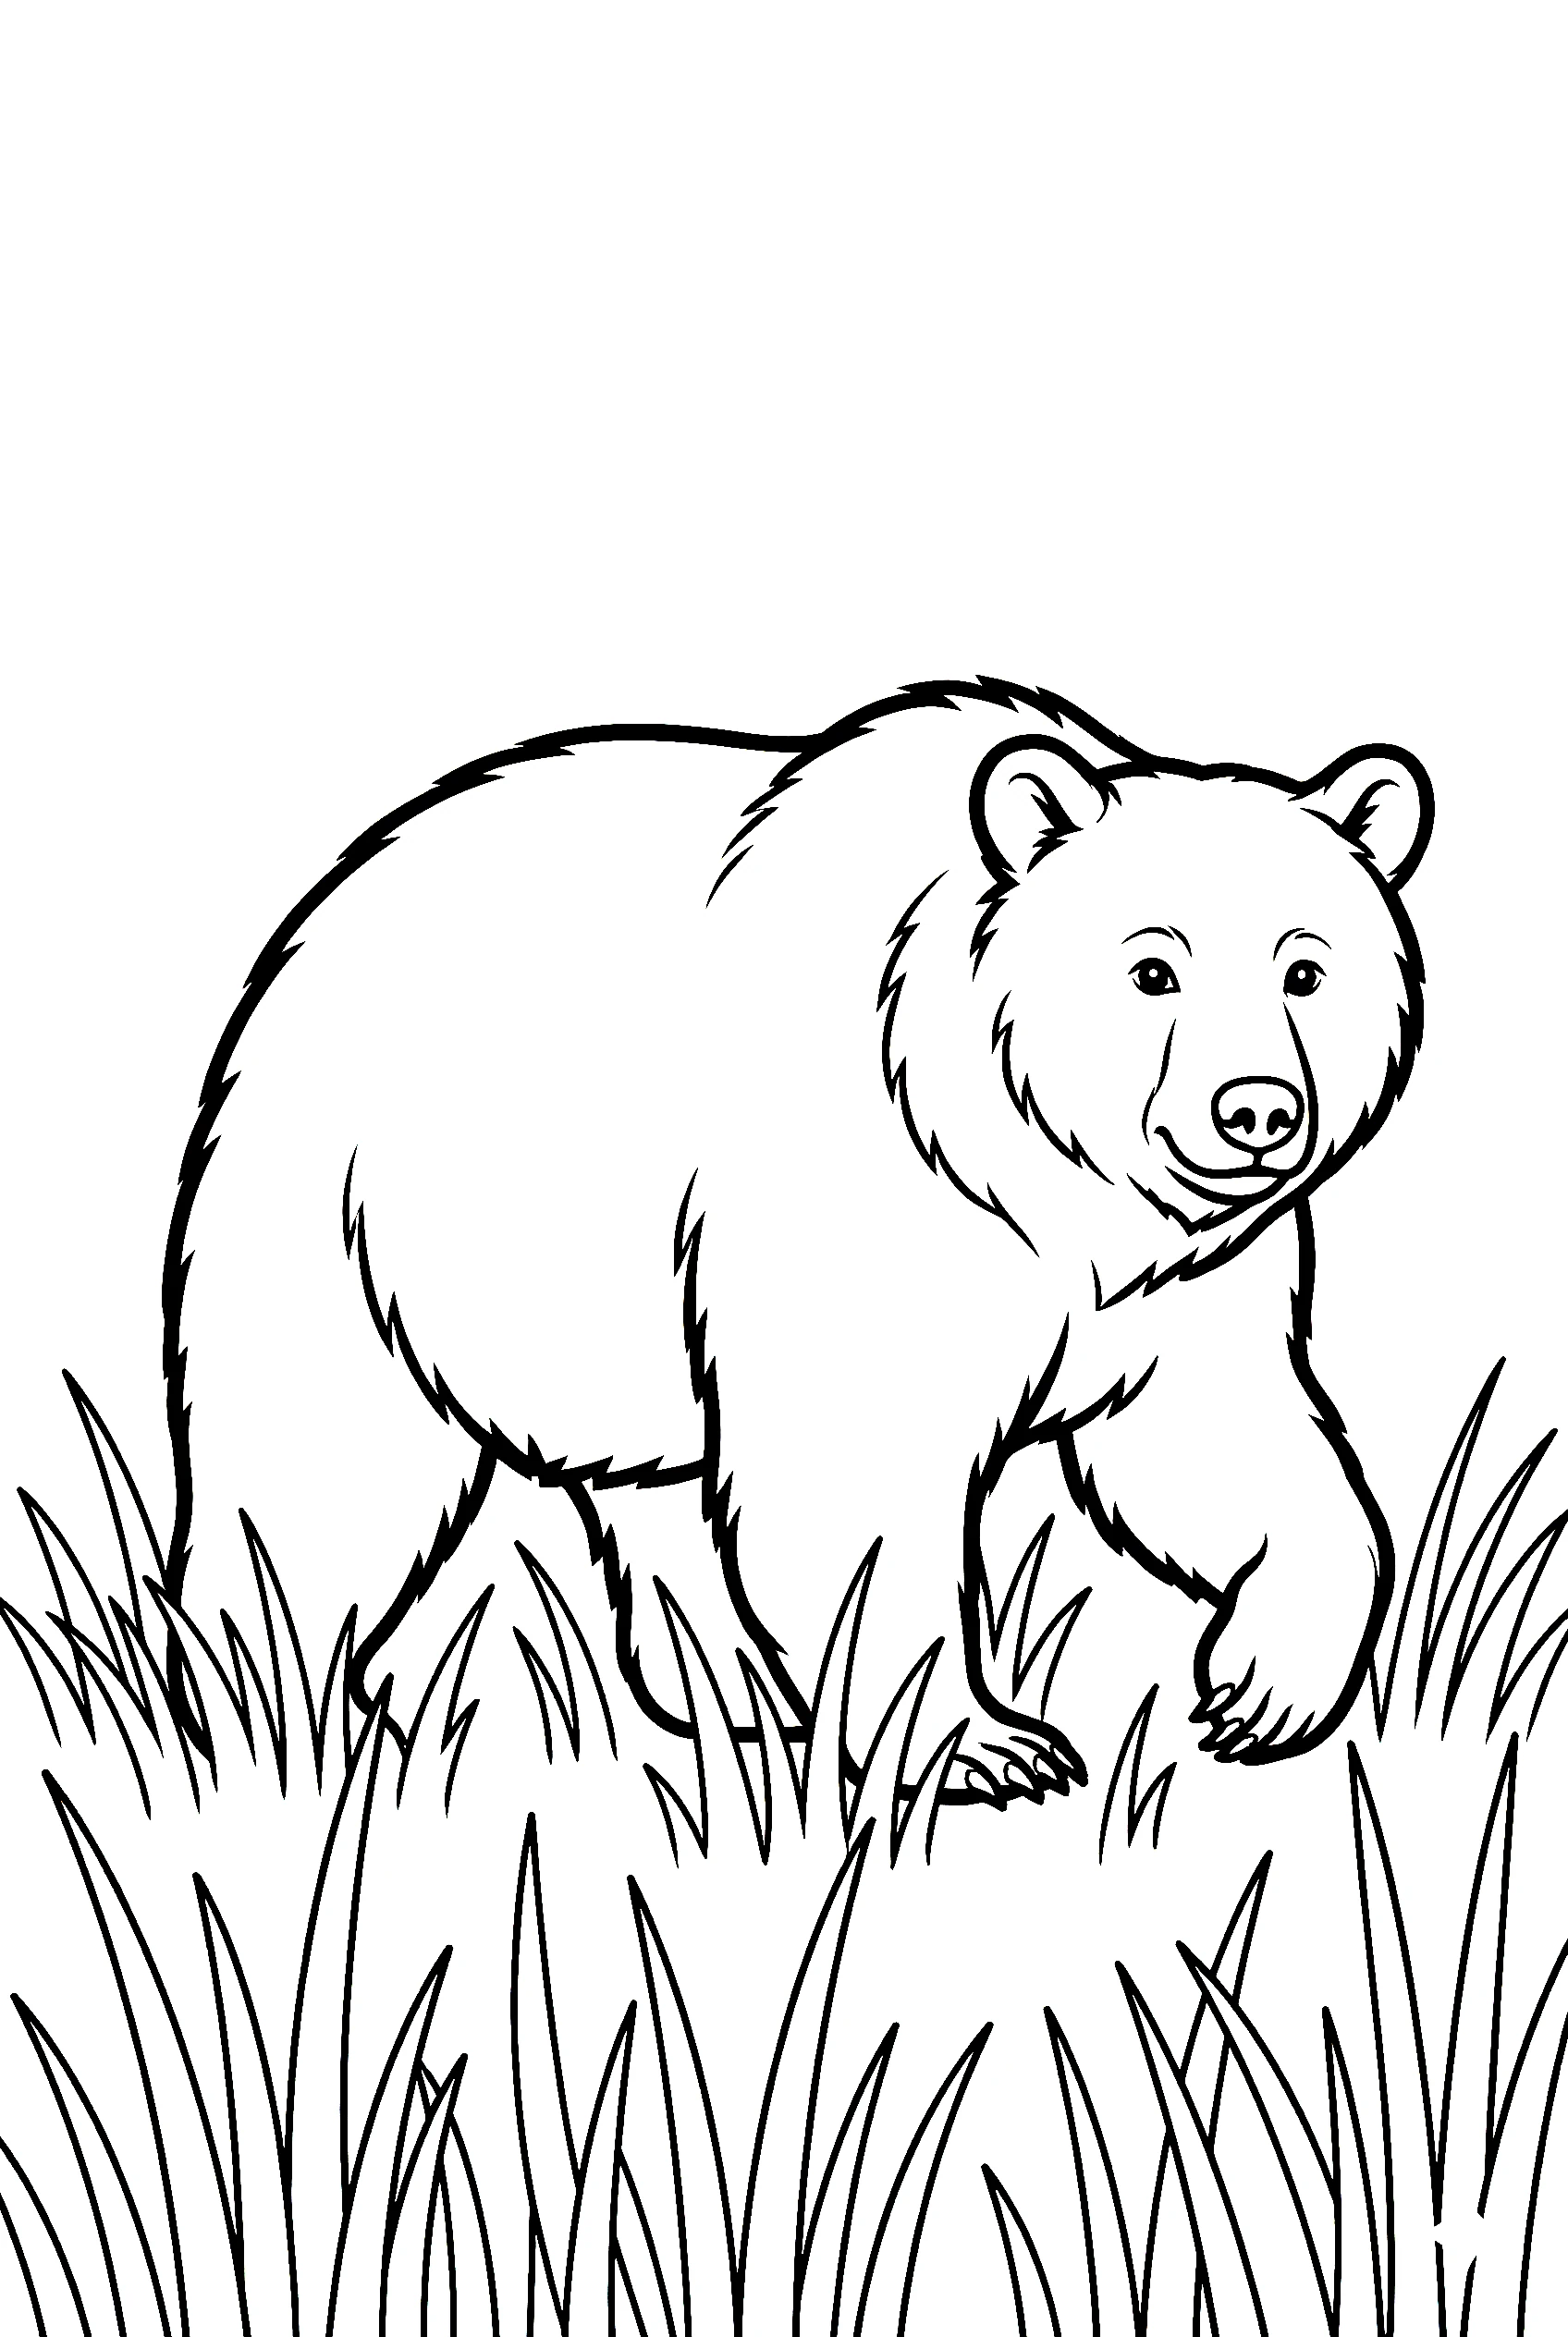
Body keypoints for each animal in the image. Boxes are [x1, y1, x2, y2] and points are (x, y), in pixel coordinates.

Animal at [161, 678, 1432, 1803]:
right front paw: (985, 1743)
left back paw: (722, 1684)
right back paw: (270, 1707)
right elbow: (855, 1461)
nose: (1256, 1108)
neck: (1034, 1172)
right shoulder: (856, 1202)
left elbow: (1220, 1439)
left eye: (1305, 967)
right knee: (313, 1469)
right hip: (349, 1209)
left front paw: (1262, 1686)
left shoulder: (1183, 1280)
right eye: (1151, 966)